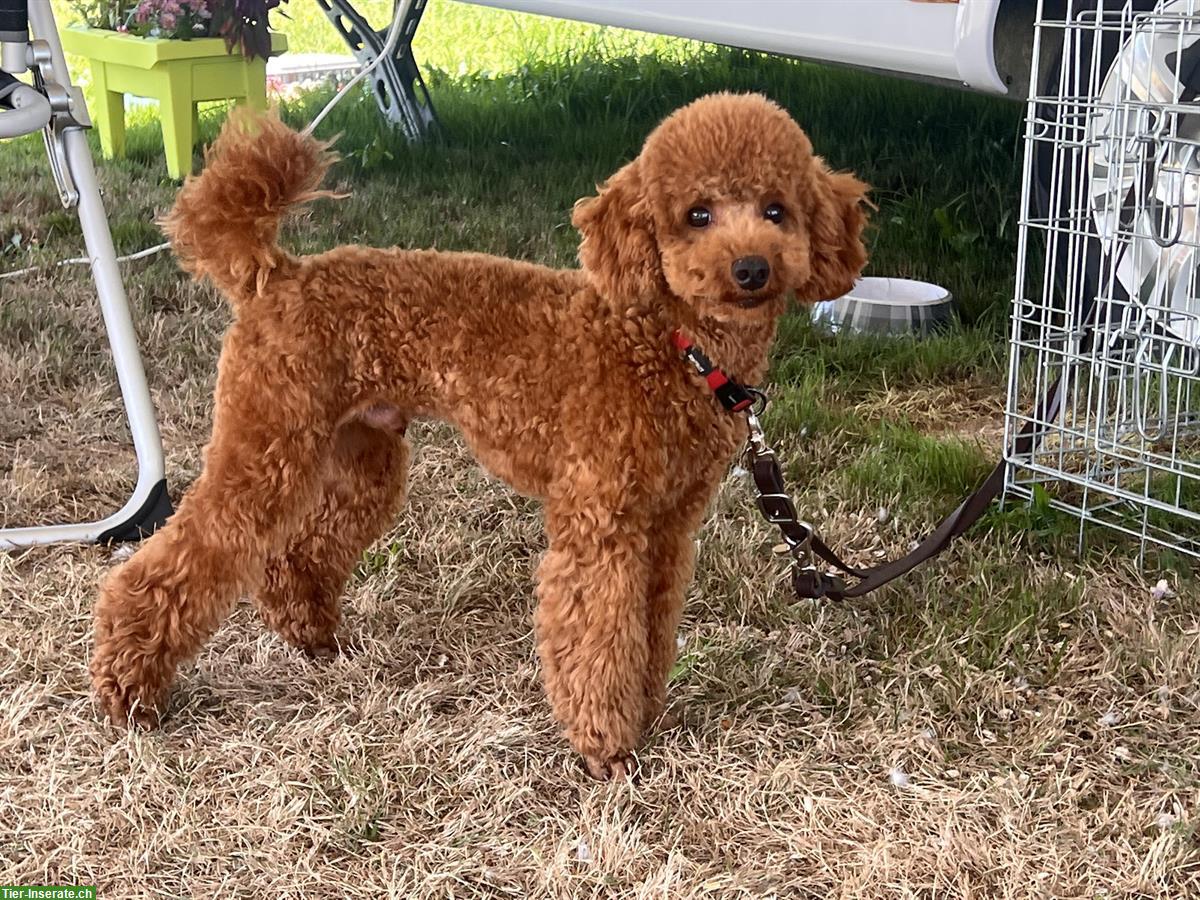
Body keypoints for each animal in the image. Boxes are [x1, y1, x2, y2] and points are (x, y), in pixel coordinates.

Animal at [93, 95, 864, 777]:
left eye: (776, 210)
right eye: (696, 215)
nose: (752, 269)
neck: (669, 342)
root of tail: (273, 275)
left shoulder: (668, 526)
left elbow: (650, 627)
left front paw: (644, 713)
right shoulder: (603, 523)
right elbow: (598, 633)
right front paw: (606, 747)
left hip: (359, 455)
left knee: (294, 556)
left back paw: (314, 640)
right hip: (267, 442)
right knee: (179, 560)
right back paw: (128, 692)